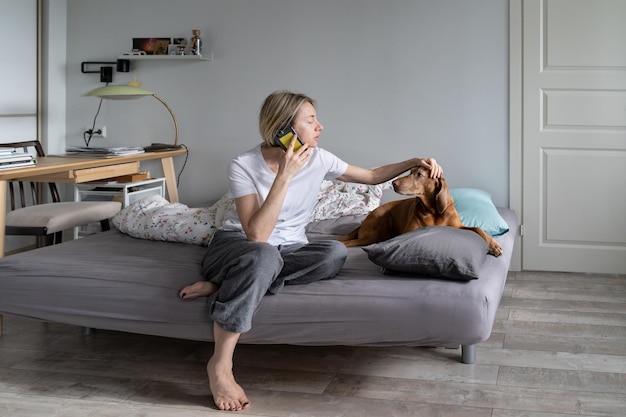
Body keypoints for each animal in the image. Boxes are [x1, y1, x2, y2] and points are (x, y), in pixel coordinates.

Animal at [336, 166, 502, 256]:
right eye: (410, 171)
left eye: (419, 175)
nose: (393, 183)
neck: (433, 210)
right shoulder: (408, 231)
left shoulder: (458, 227)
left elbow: (478, 228)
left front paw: (494, 246)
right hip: (376, 230)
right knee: (348, 242)